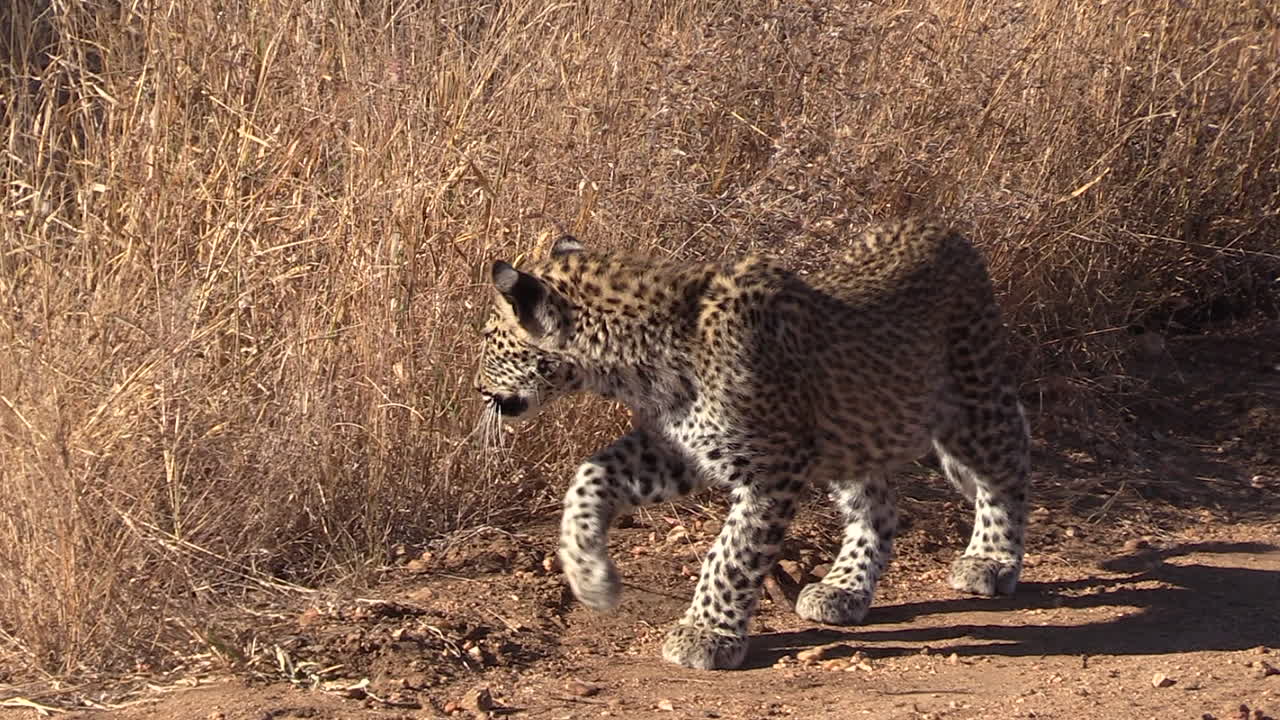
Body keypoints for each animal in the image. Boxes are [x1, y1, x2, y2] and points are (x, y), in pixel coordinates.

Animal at [475, 218, 1031, 670]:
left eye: (487, 339)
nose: (478, 389)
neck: (633, 364)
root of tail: (945, 231)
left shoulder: (772, 467)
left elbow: (733, 553)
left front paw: (706, 633)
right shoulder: (682, 448)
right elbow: (590, 474)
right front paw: (590, 575)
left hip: (972, 401)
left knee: (1008, 468)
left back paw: (992, 560)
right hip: (853, 432)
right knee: (879, 510)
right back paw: (844, 589)